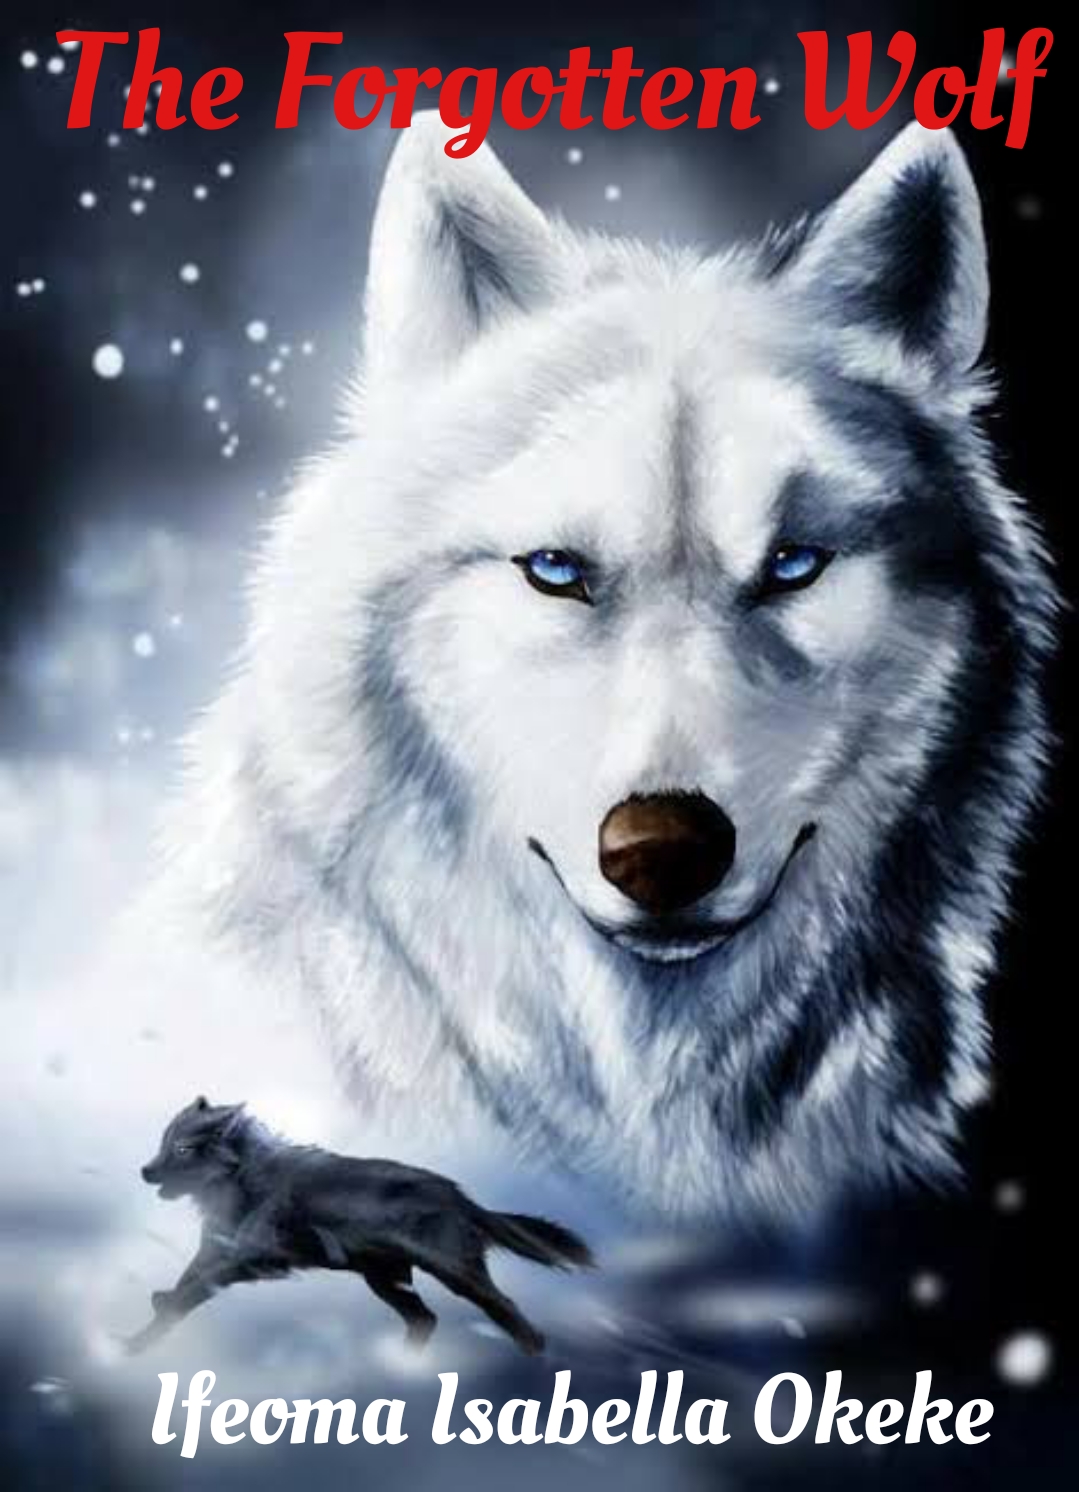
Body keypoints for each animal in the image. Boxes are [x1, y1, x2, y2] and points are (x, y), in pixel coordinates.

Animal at [127, 1096, 592, 1355]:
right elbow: (186, 1282)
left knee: (506, 1309)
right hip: (382, 1281)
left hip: (454, 1273)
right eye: (164, 1141)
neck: (240, 1182)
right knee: (425, 1319)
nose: (145, 1171)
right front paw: (147, 1323)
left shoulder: (247, 1258)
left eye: (183, 1149)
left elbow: (191, 1293)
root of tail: (462, 1196)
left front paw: (141, 1339)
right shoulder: (213, 1250)